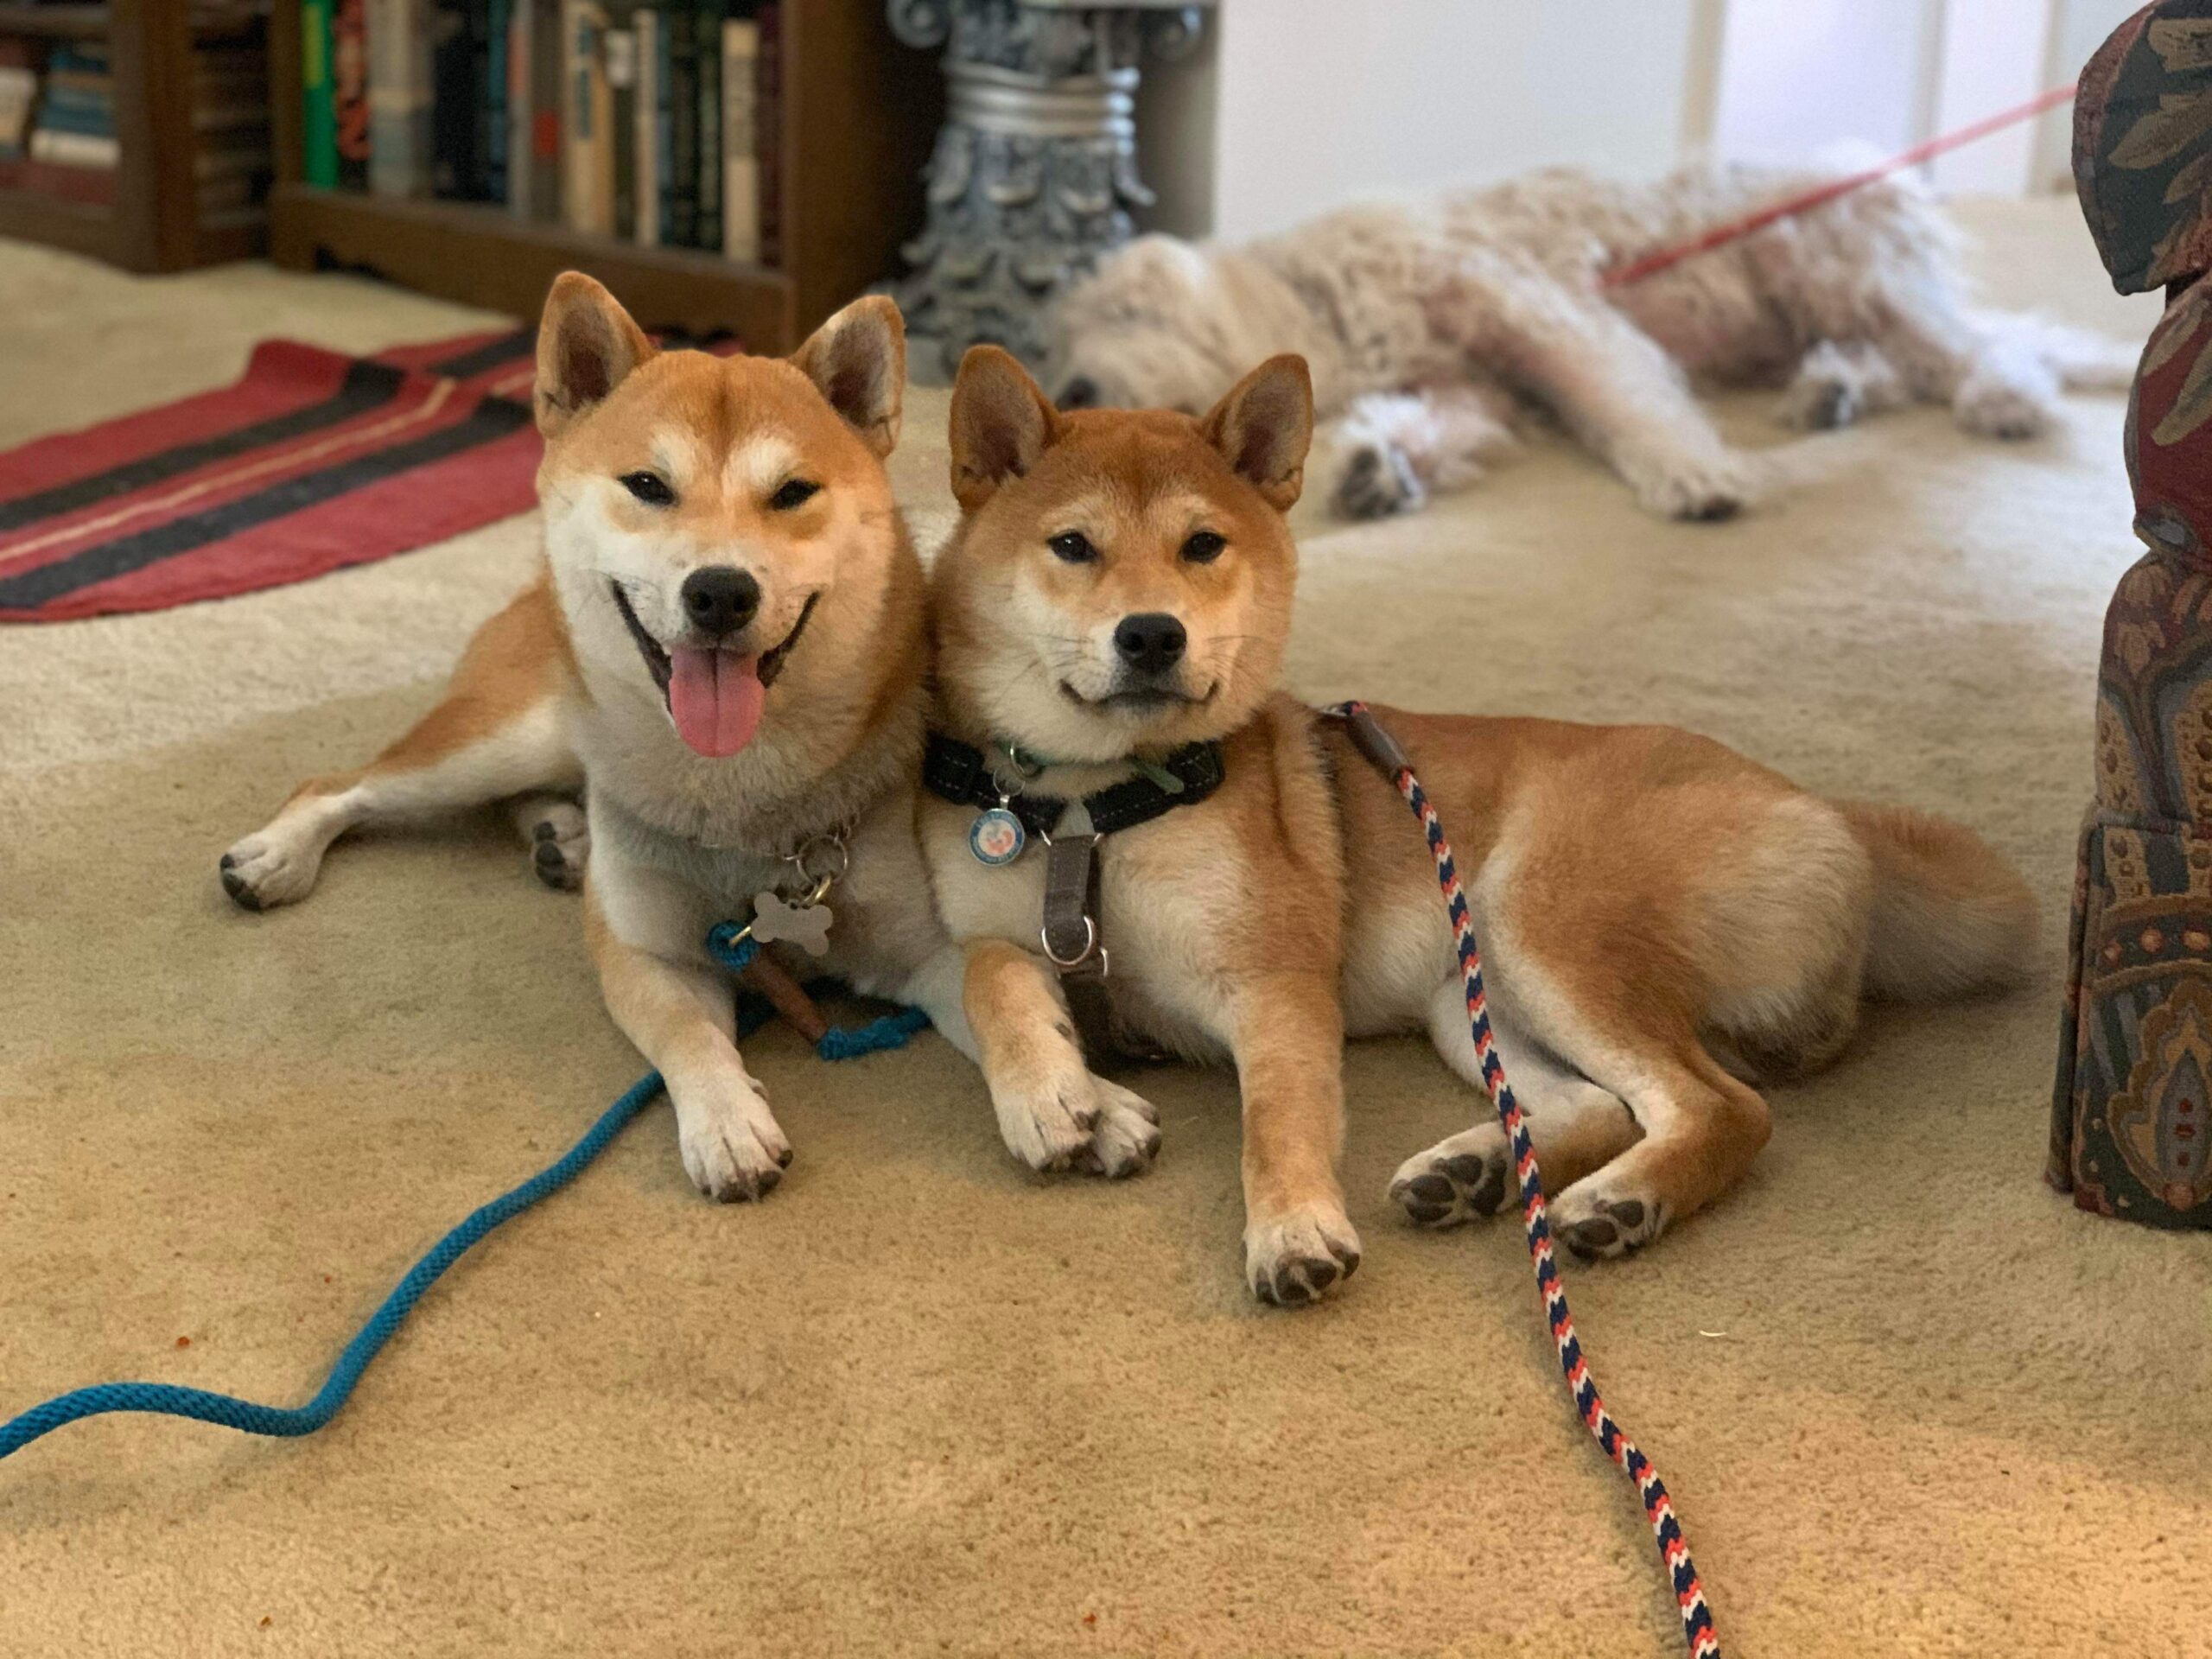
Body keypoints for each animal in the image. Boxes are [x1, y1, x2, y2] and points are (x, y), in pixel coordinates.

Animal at [224, 279, 986, 1203]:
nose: (720, 591)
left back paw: (563, 837)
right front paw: (727, 1123)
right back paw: (277, 855)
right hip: (504, 739)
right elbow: (689, 1038)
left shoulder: (918, 945)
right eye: (649, 485)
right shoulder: (648, 951)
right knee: (340, 785)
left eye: (793, 493)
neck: (740, 805)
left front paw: (1075, 1097)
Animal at [919, 352, 2035, 1309]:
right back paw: (1476, 1171)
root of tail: (1821, 809)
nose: (1152, 634)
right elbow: (989, 973)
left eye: (1202, 546)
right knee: (1594, 1108)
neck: (1095, 815)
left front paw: (1291, 1230)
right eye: (1073, 546)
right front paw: (1050, 1095)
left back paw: (1623, 1200)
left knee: (1721, 1107)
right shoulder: (993, 925)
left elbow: (1276, 1121)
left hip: (1541, 918)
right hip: (1472, 997)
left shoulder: (1274, 981)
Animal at [1044, 167, 2132, 519]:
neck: (1332, 292)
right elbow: (1431, 424)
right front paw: (1375, 463)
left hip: (1832, 266)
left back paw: (2000, 394)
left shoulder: (1539, 314)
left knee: (1962, 346)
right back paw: (1832, 392)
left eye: (1124, 320)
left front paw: (1691, 474)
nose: (1074, 381)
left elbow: (1620, 400)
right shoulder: (1472, 389)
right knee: (1897, 364)